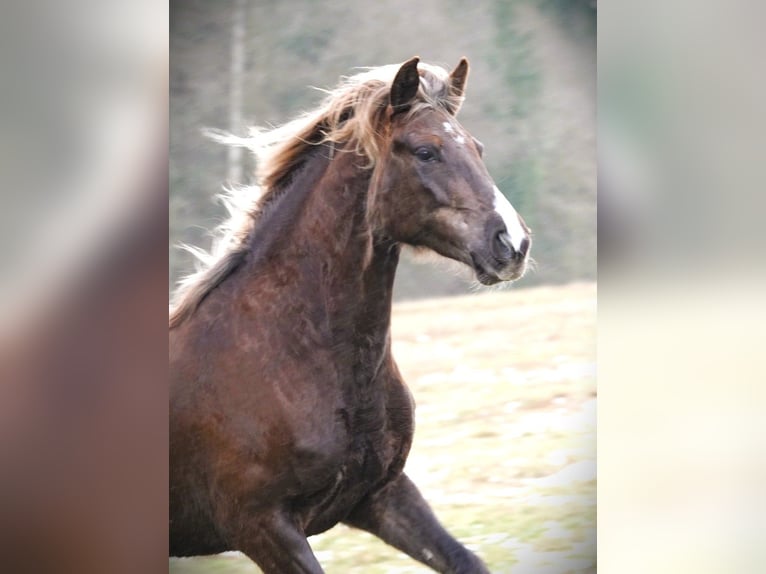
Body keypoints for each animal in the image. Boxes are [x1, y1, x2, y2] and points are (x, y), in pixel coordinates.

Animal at [169, 56, 531, 573]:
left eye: (477, 148)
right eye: (426, 152)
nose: (512, 244)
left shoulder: (380, 495)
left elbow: (465, 561)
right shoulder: (262, 527)